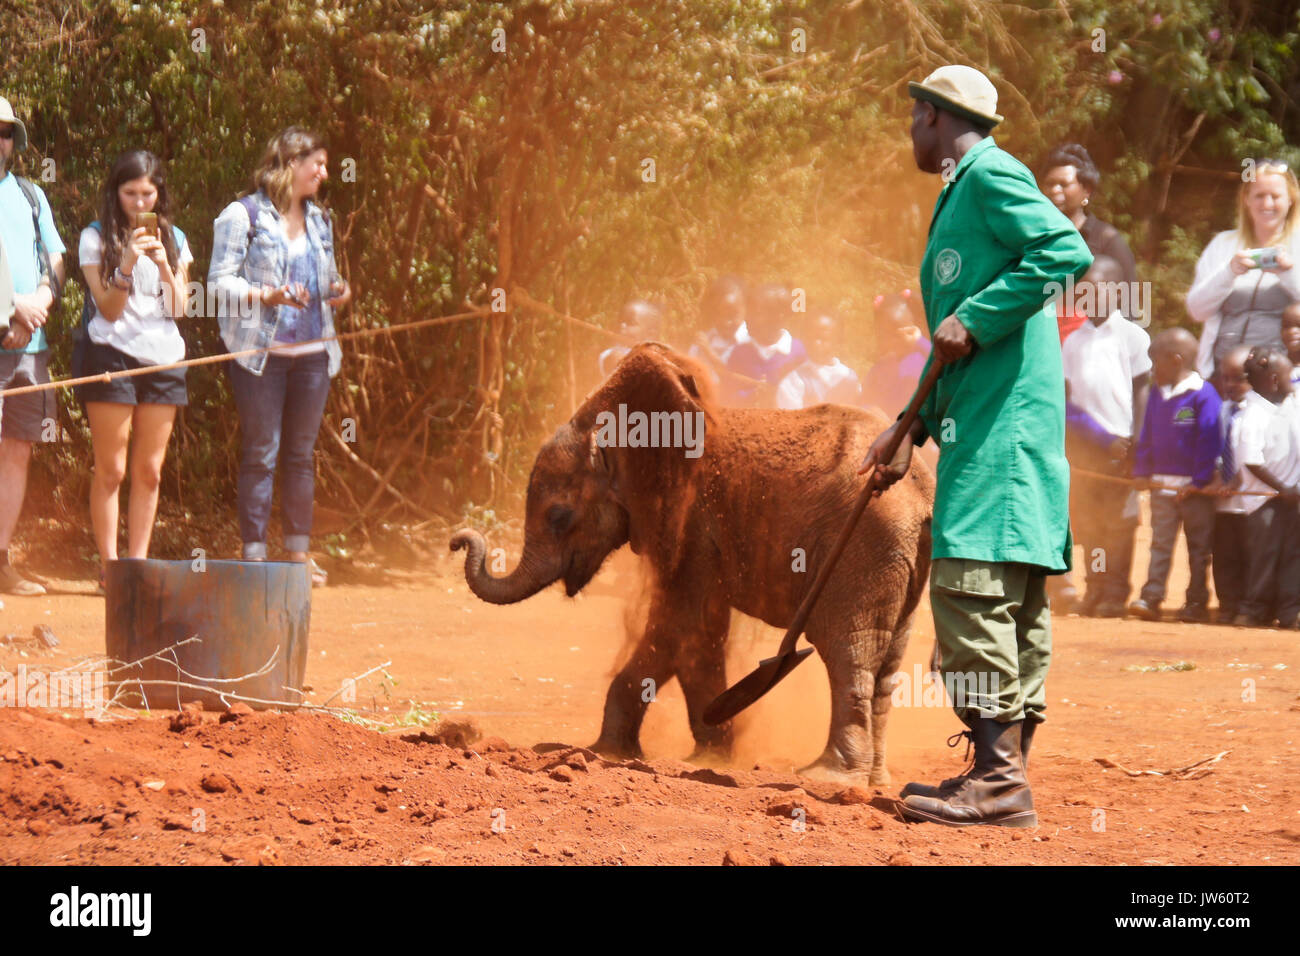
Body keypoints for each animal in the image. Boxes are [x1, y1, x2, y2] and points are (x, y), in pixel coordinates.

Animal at [452, 343, 930, 785]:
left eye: (558, 516)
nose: (458, 540)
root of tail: (921, 494)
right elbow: (698, 631)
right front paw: (684, 751)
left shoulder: (692, 525)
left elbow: (684, 627)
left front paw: (624, 752)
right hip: (896, 561)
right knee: (885, 666)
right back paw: (875, 779)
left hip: (863, 551)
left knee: (847, 651)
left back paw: (828, 776)